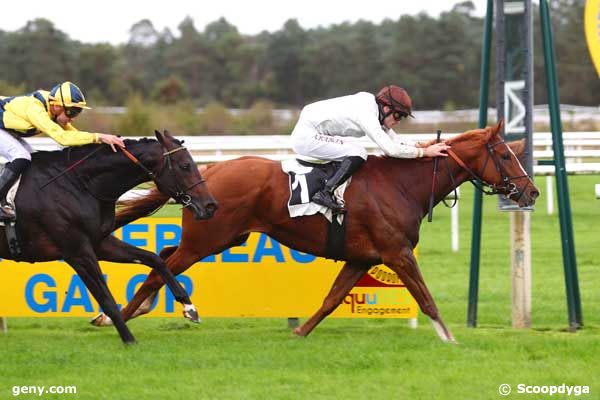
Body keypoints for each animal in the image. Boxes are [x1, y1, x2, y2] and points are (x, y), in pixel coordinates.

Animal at [1, 131, 217, 344]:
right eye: (185, 165)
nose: (210, 205)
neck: (80, 184)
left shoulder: (99, 242)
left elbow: (155, 259)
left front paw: (189, 307)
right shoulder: (77, 251)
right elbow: (106, 298)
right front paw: (129, 339)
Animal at [97, 121, 540, 340]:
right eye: (505, 155)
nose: (531, 191)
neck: (401, 184)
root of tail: (211, 170)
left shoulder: (362, 257)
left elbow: (331, 300)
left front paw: (300, 333)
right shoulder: (396, 252)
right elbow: (426, 298)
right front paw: (449, 338)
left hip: (222, 236)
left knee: (163, 256)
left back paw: (128, 312)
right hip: (206, 239)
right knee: (159, 269)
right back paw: (115, 317)